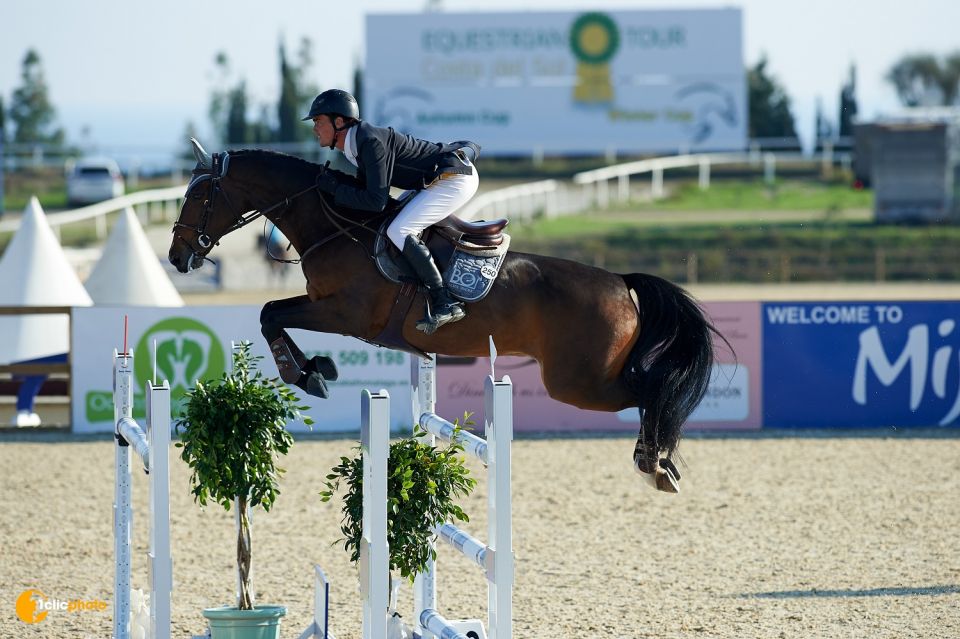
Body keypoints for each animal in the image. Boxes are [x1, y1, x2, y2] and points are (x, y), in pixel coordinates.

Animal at [167, 140, 720, 492]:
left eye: (198, 196)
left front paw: (308, 375)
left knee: (652, 390)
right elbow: (272, 315)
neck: (333, 224)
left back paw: (655, 464)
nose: (176, 257)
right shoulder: (331, 310)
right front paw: (316, 369)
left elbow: (269, 315)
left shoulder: (344, 313)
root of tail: (622, 283)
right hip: (584, 379)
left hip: (579, 382)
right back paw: (656, 461)